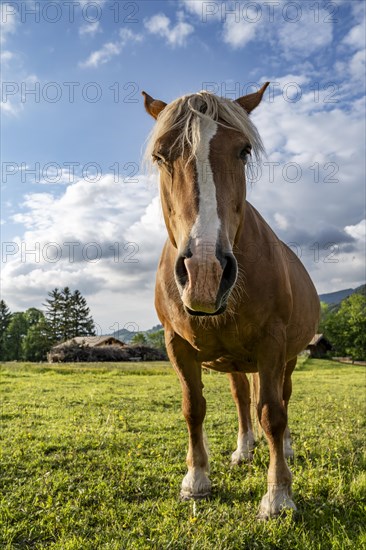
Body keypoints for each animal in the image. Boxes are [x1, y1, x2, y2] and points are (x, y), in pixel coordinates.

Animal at [142, 84, 318, 520]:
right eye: (160, 156)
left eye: (243, 151)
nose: (205, 272)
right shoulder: (177, 344)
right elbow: (193, 407)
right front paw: (197, 480)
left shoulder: (273, 344)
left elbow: (272, 412)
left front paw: (278, 496)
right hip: (236, 361)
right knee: (242, 398)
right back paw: (244, 449)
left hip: (286, 357)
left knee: (281, 397)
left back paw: (284, 448)